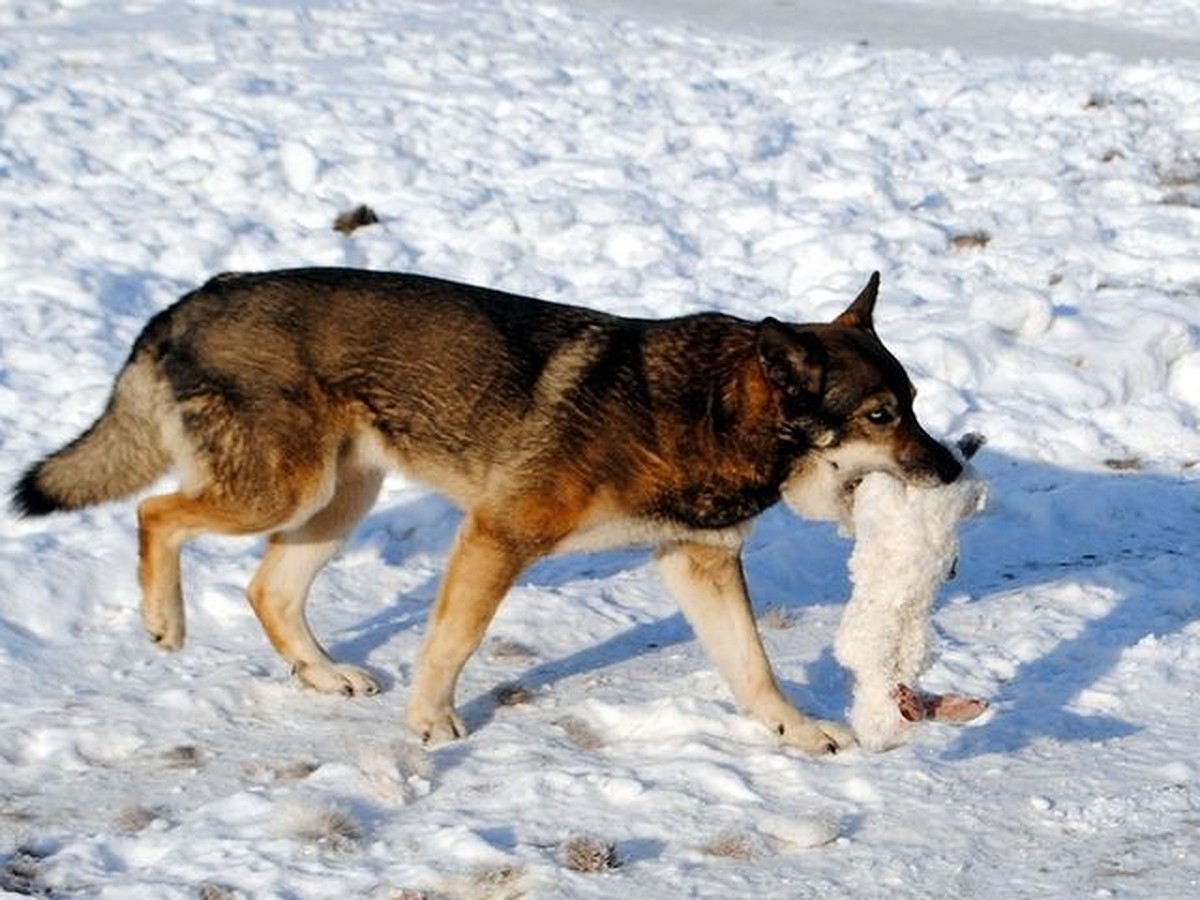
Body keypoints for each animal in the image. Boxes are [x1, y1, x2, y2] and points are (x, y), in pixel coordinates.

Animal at [11, 267, 955, 753]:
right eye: (882, 416)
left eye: (915, 403)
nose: (952, 468)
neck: (709, 410)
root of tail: (194, 297)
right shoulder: (498, 538)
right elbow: (451, 643)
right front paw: (429, 720)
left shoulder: (701, 562)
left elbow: (752, 665)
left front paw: (796, 730)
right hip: (279, 492)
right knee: (157, 513)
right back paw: (164, 621)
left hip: (337, 500)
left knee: (266, 588)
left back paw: (322, 673)